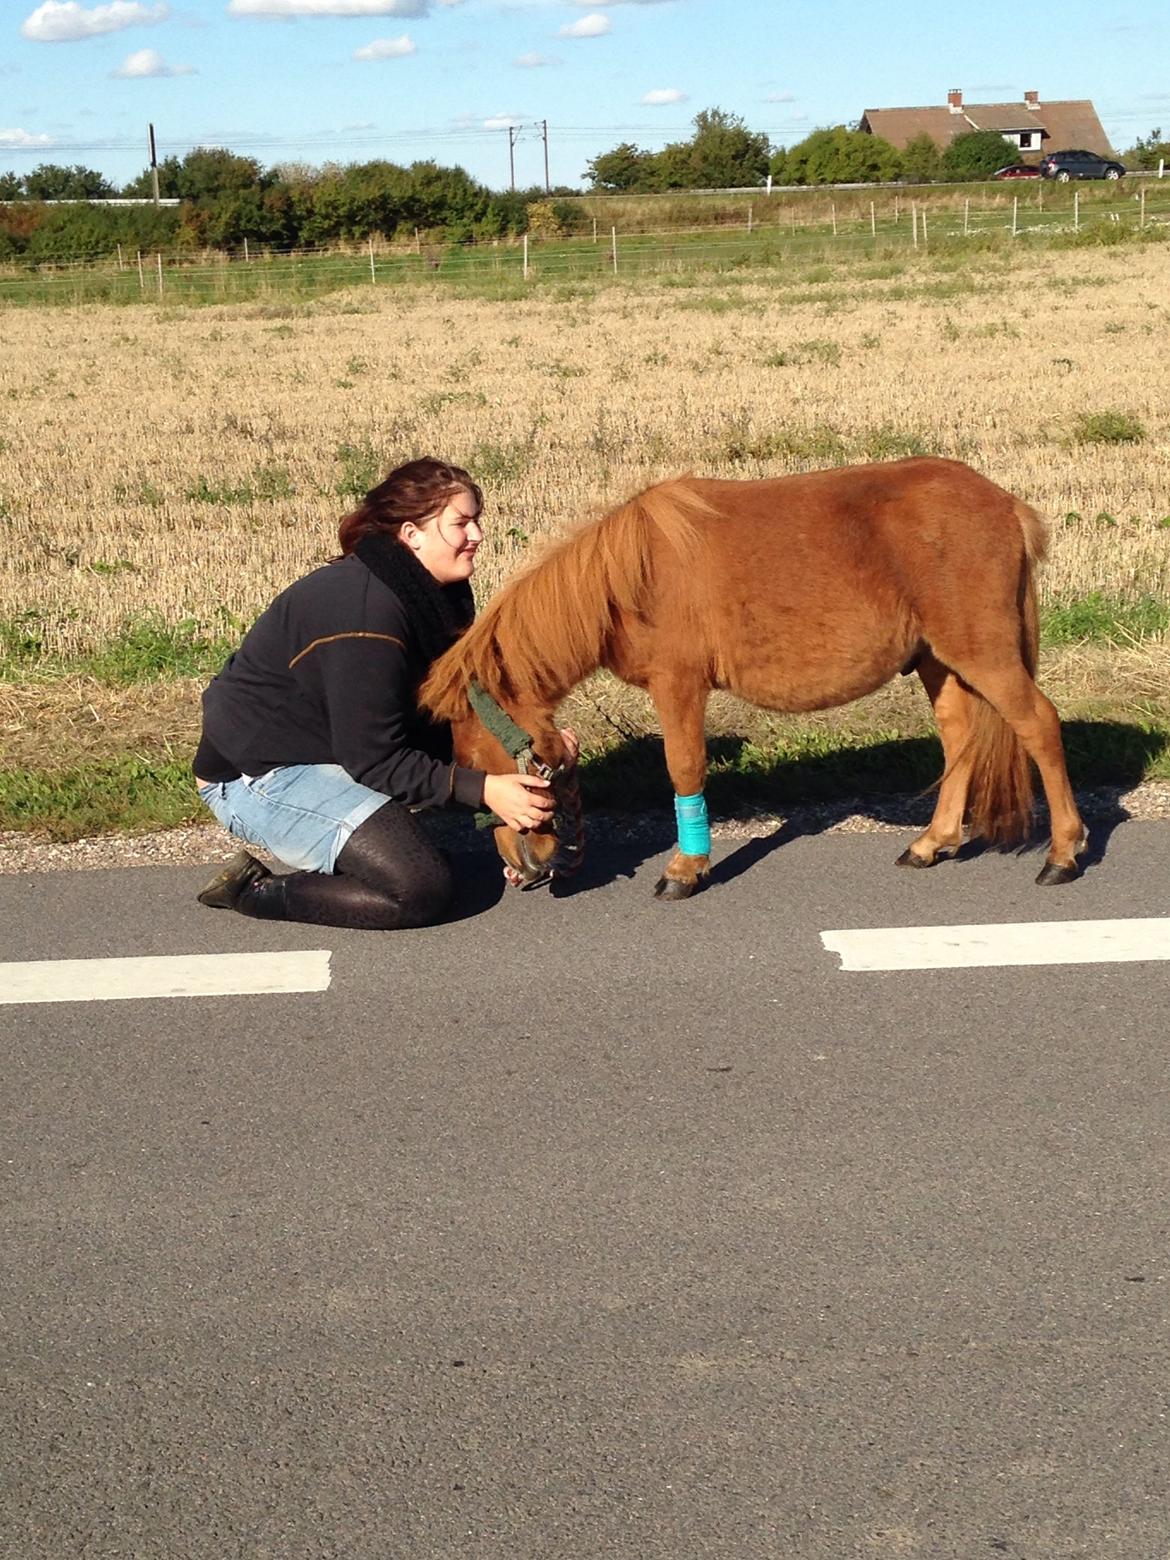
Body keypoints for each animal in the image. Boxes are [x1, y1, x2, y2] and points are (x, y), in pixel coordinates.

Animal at [418, 455, 1092, 898]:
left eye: (470, 756)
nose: (522, 868)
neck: (629, 577)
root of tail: (1006, 504)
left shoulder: (679, 686)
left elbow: (684, 769)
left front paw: (686, 869)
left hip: (983, 654)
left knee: (1037, 725)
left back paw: (1063, 853)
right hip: (939, 661)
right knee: (959, 741)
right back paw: (932, 842)